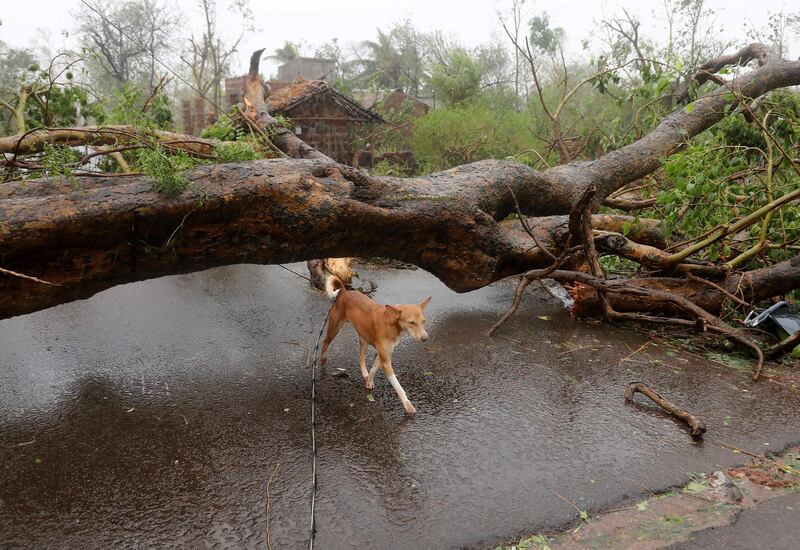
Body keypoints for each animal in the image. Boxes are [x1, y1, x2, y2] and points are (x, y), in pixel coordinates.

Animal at [320, 276, 432, 414]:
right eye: (411, 323)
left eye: (423, 321)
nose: (425, 338)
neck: (391, 322)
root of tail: (345, 292)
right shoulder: (386, 361)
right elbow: (398, 386)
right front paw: (407, 404)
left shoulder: (383, 354)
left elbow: (373, 368)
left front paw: (369, 381)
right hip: (334, 329)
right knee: (325, 342)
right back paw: (322, 359)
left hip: (364, 339)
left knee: (361, 358)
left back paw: (364, 373)